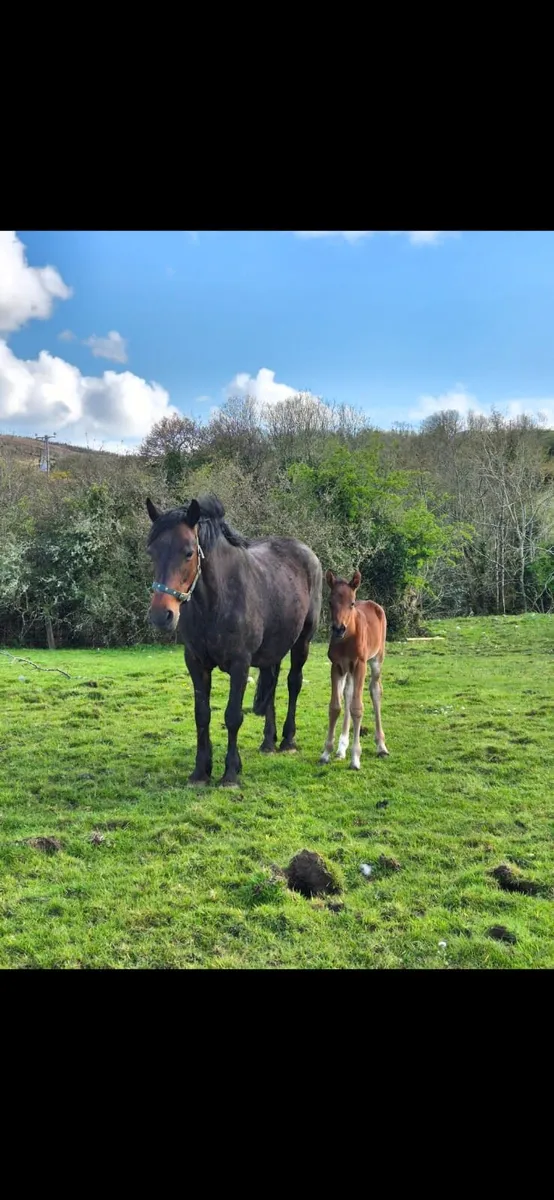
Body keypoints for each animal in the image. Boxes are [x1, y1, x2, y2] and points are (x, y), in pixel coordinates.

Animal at [146, 494, 322, 787]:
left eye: (188, 552)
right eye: (151, 553)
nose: (162, 615)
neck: (216, 601)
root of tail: (306, 552)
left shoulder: (240, 664)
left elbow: (232, 716)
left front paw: (229, 773)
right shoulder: (196, 663)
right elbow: (202, 714)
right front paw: (200, 771)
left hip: (302, 642)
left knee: (293, 683)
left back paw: (287, 740)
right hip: (271, 651)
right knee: (271, 686)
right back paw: (268, 742)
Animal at [319, 569, 389, 770]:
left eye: (351, 603)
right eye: (330, 602)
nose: (338, 629)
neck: (347, 639)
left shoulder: (360, 665)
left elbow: (357, 708)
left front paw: (355, 758)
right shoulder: (336, 666)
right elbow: (335, 706)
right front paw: (326, 753)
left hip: (376, 659)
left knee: (375, 691)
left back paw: (381, 746)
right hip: (348, 670)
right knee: (348, 693)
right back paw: (341, 749)